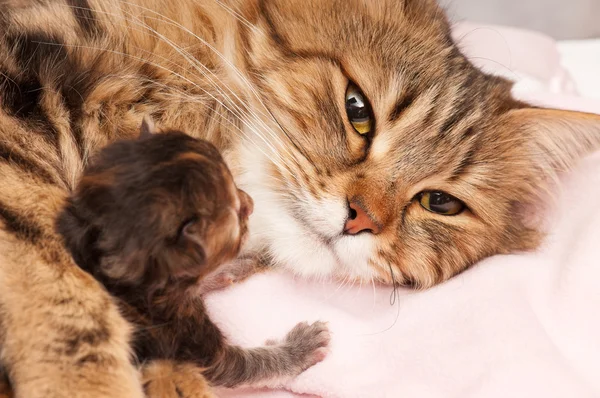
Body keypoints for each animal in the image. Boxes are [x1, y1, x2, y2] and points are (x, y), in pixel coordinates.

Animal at [54, 119, 330, 390]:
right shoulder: (187, 340)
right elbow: (248, 367)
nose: (251, 203)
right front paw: (300, 348)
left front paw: (227, 269)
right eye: (236, 212)